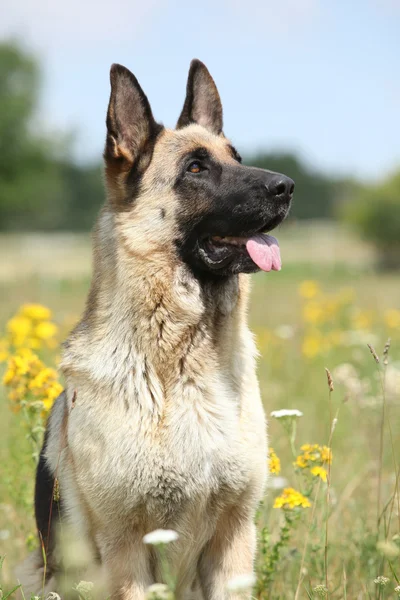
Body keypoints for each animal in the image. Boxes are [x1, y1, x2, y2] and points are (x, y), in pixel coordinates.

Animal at [18, 59, 294, 596]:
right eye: (196, 168)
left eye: (238, 157)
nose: (287, 187)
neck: (184, 364)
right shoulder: (127, 550)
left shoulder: (233, 539)